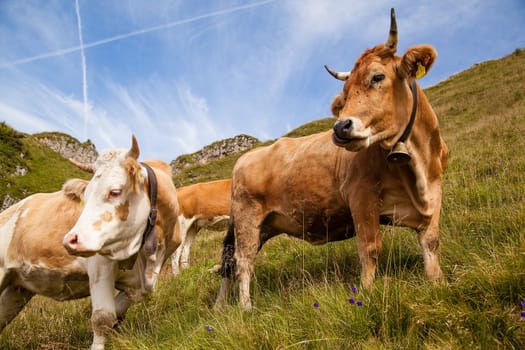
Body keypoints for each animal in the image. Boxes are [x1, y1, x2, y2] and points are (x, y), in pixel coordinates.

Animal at [0, 136, 180, 350]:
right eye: (85, 196)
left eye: (115, 192)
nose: (70, 240)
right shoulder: (100, 265)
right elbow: (103, 318)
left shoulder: (142, 282)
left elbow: (116, 313)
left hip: (18, 288)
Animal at [215, 7, 448, 308]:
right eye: (345, 94)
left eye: (377, 77)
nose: (340, 127)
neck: (417, 167)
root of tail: (245, 159)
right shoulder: (361, 197)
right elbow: (370, 248)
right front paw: (367, 293)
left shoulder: (434, 192)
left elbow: (431, 242)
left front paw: (437, 282)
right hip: (247, 218)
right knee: (243, 262)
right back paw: (245, 307)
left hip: (262, 225)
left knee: (230, 263)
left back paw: (220, 308)